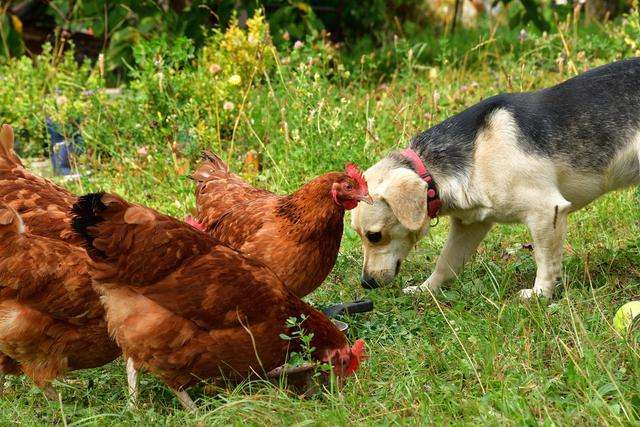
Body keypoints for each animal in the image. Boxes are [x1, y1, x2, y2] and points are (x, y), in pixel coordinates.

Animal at [350, 58, 640, 300]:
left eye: (374, 236)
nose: (366, 283)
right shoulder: (469, 227)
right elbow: (446, 262)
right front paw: (427, 289)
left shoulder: (547, 212)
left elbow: (545, 261)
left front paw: (540, 294)